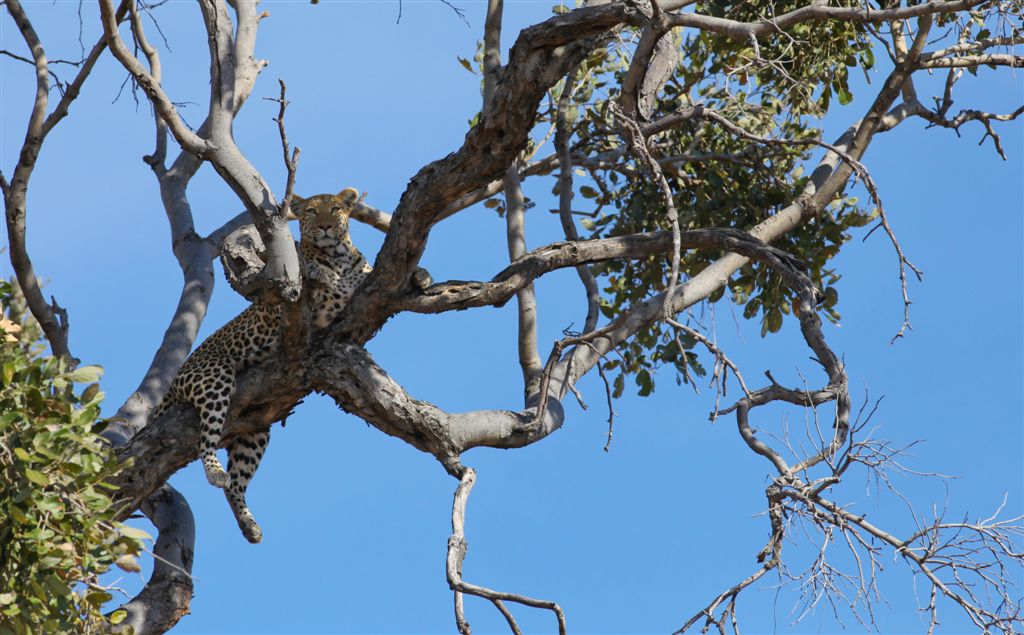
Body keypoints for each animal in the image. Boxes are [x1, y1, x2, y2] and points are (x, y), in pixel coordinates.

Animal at [149, 186, 374, 544]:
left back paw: (249, 525)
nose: (325, 226)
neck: (338, 254)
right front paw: (321, 272)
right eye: (312, 212)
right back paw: (215, 472)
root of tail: (173, 381)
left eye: (336, 209)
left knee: (236, 484)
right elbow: (315, 274)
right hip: (214, 378)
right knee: (205, 441)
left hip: (254, 432)